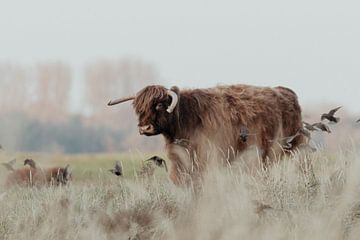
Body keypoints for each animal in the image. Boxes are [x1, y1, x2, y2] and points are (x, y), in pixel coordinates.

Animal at [109, 84, 304, 184]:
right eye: (139, 109)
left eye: (159, 105)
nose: (145, 128)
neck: (186, 117)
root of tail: (285, 91)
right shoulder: (180, 160)